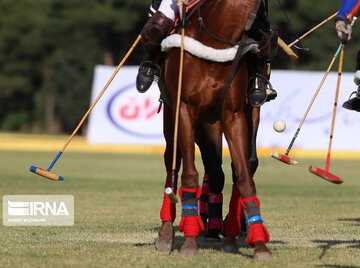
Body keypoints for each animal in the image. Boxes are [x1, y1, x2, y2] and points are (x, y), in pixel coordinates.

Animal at [156, 0, 272, 260]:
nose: (269, 40)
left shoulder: (235, 114)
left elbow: (245, 175)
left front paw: (258, 243)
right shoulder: (185, 109)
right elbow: (189, 174)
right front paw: (190, 242)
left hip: (214, 123)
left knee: (221, 170)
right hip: (173, 115)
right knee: (172, 164)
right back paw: (167, 233)